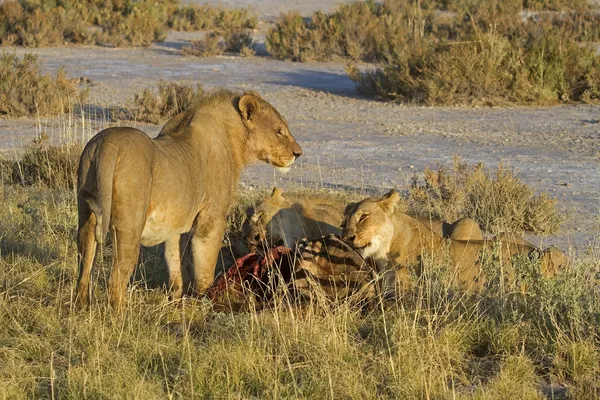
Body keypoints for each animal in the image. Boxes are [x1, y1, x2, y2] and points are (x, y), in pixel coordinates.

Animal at [76, 90, 300, 310]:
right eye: (279, 131)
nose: (298, 153)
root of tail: (106, 143)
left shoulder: (176, 227)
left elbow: (176, 264)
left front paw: (176, 302)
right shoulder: (211, 218)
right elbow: (205, 264)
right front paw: (206, 300)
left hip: (86, 216)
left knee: (84, 269)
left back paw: (82, 308)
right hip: (130, 226)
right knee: (117, 276)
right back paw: (121, 315)